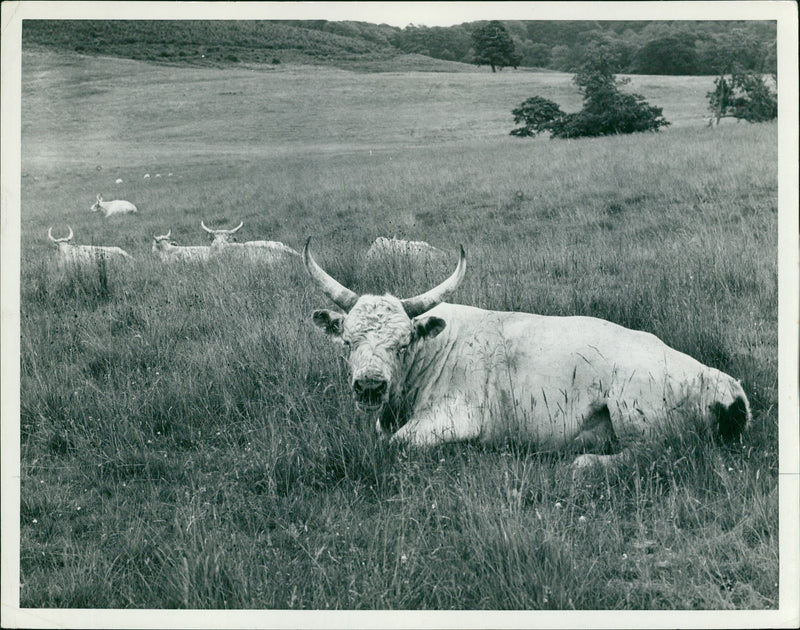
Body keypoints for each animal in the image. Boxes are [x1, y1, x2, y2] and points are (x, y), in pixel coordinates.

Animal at [304, 241, 752, 470]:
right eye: (347, 343)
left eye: (401, 345)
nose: (369, 386)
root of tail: (721, 380)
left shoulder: (451, 419)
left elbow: (393, 445)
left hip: (636, 411)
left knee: (656, 454)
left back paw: (586, 462)